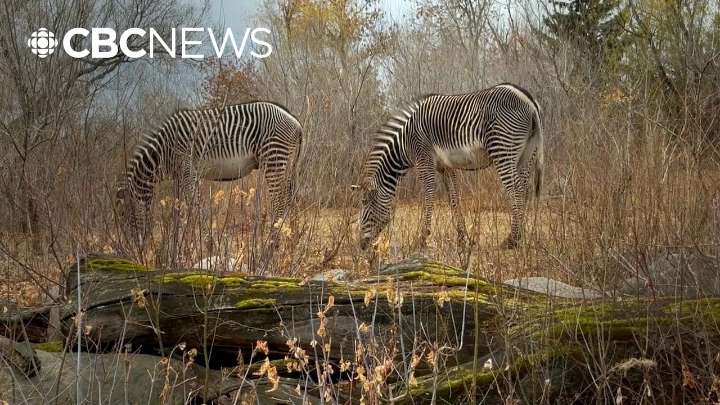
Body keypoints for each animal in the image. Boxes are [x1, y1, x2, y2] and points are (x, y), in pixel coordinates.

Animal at [116, 101, 303, 243]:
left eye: (124, 213)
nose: (136, 247)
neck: (163, 151)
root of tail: (295, 121)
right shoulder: (180, 175)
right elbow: (181, 207)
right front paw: (184, 239)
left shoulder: (188, 169)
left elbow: (195, 205)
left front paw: (204, 241)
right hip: (287, 165)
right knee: (288, 199)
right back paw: (289, 237)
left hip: (274, 160)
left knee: (279, 201)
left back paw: (273, 239)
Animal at [353, 83, 544, 251]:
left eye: (364, 203)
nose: (361, 245)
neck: (404, 143)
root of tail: (528, 99)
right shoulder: (446, 167)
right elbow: (454, 198)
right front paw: (463, 238)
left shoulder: (424, 160)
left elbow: (429, 194)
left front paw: (421, 238)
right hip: (527, 155)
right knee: (525, 189)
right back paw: (521, 236)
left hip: (503, 150)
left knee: (517, 189)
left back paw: (512, 239)